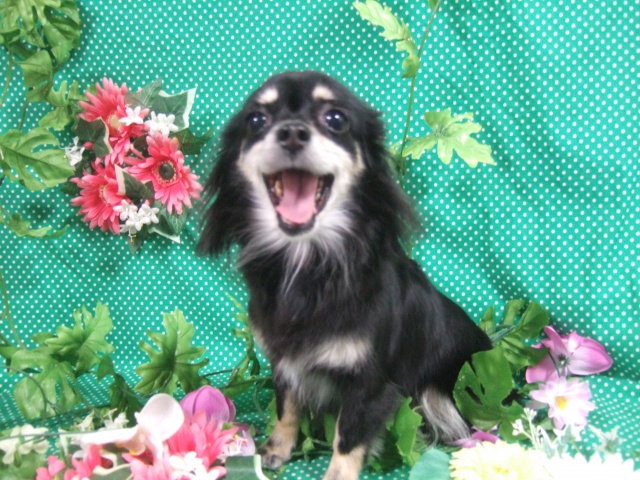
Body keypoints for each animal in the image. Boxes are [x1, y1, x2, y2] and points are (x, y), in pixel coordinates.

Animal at [197, 71, 492, 480]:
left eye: (335, 119)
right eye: (256, 120)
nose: (291, 132)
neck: (308, 265)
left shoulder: (369, 382)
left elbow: (349, 434)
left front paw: (337, 473)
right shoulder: (285, 361)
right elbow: (286, 406)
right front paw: (277, 448)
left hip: (443, 391)